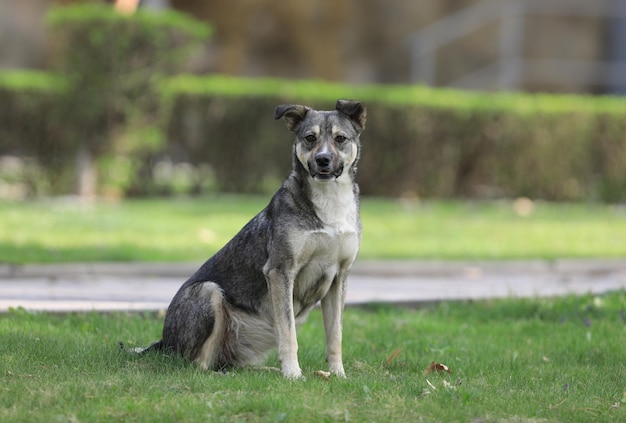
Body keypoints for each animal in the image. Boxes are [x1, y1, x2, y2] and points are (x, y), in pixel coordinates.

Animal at [132, 100, 366, 380]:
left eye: (340, 139)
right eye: (310, 138)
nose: (323, 159)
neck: (330, 201)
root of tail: (163, 342)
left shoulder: (338, 278)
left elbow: (335, 335)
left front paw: (338, 375)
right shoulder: (280, 271)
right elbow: (288, 333)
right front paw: (292, 374)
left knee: (224, 361)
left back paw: (262, 371)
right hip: (208, 292)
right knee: (199, 365)